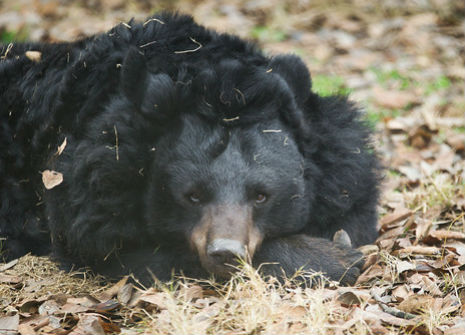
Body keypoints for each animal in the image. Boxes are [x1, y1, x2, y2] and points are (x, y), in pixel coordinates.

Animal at [0, 13, 378, 286]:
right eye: (192, 196)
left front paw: (341, 241)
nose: (226, 253)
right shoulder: (87, 191)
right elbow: (125, 253)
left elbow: (353, 204)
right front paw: (335, 257)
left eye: (261, 196)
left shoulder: (341, 162)